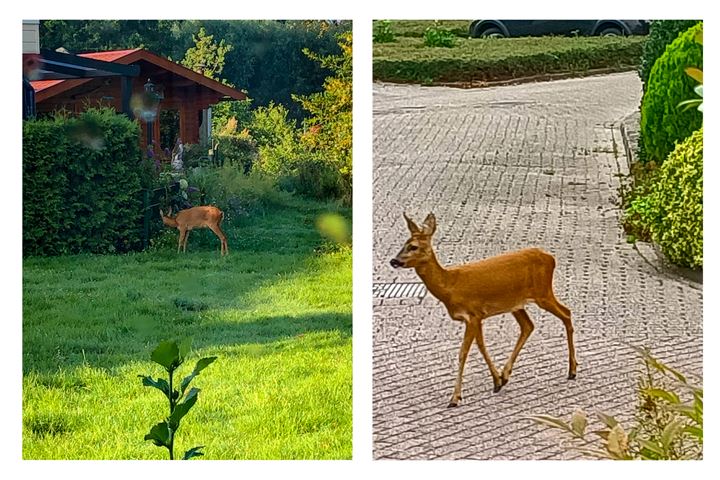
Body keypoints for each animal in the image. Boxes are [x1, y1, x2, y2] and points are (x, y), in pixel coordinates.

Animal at [390, 213, 576, 404]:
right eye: (404, 244)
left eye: (413, 246)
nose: (394, 261)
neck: (450, 286)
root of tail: (551, 258)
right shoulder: (477, 316)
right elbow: (481, 346)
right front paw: (497, 381)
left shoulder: (472, 315)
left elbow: (463, 352)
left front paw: (455, 398)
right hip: (516, 303)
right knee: (528, 326)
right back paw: (507, 374)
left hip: (543, 293)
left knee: (566, 313)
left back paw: (572, 371)